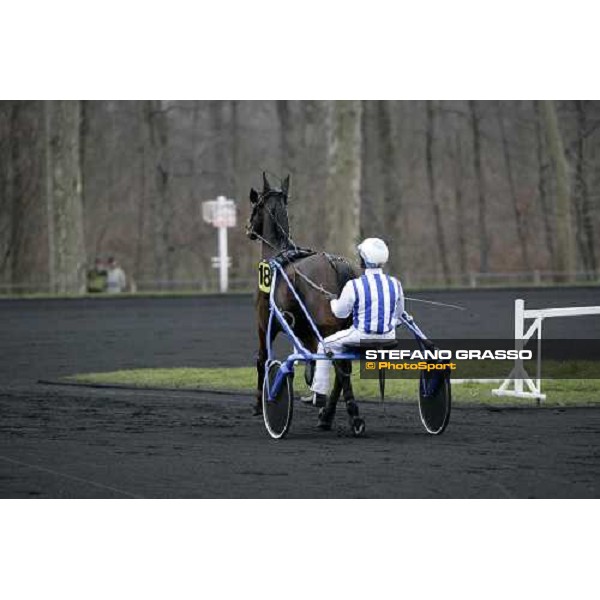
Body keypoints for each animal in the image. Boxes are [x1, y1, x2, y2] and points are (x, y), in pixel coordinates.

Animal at [245, 171, 358, 420]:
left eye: (255, 205)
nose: (248, 229)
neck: (278, 254)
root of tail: (336, 264)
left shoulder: (263, 323)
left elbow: (262, 359)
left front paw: (260, 404)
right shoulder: (304, 331)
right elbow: (309, 364)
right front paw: (314, 393)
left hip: (327, 328)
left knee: (341, 368)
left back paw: (347, 415)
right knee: (343, 370)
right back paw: (329, 414)